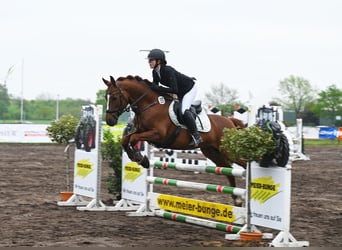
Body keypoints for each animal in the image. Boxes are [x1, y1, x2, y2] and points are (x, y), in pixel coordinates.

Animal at [102, 74, 246, 205]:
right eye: (105, 97)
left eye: (114, 97)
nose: (110, 121)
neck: (150, 105)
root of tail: (230, 121)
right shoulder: (141, 131)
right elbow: (125, 140)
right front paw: (139, 159)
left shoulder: (157, 135)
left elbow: (133, 138)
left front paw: (141, 159)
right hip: (212, 152)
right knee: (228, 170)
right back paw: (237, 199)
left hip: (229, 151)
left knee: (243, 163)